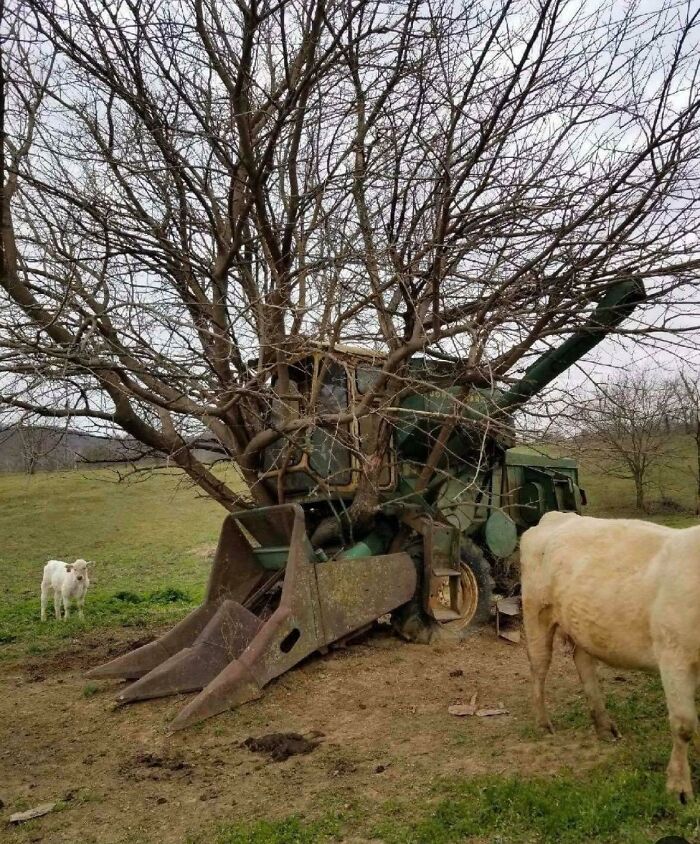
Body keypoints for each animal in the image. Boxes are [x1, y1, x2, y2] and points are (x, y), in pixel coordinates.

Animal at [524, 512, 696, 800]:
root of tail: (557, 516)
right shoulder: (674, 656)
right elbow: (683, 725)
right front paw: (679, 787)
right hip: (536, 614)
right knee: (539, 668)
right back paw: (542, 724)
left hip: (580, 622)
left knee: (584, 664)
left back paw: (603, 725)